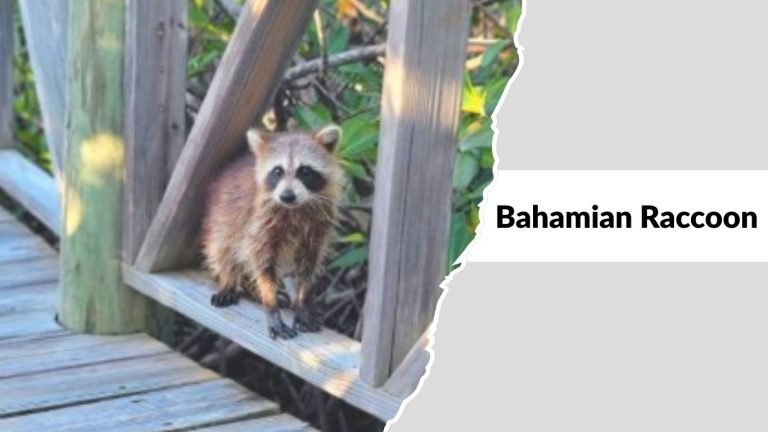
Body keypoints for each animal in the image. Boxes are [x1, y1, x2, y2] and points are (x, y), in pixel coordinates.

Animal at [201, 125, 343, 340]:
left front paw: (302, 301)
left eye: (305, 171)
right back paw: (229, 281)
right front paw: (271, 306)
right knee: (223, 250)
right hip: (223, 218)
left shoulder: (317, 228)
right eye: (278, 171)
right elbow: (262, 267)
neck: (295, 208)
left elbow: (307, 267)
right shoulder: (259, 225)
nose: (287, 196)